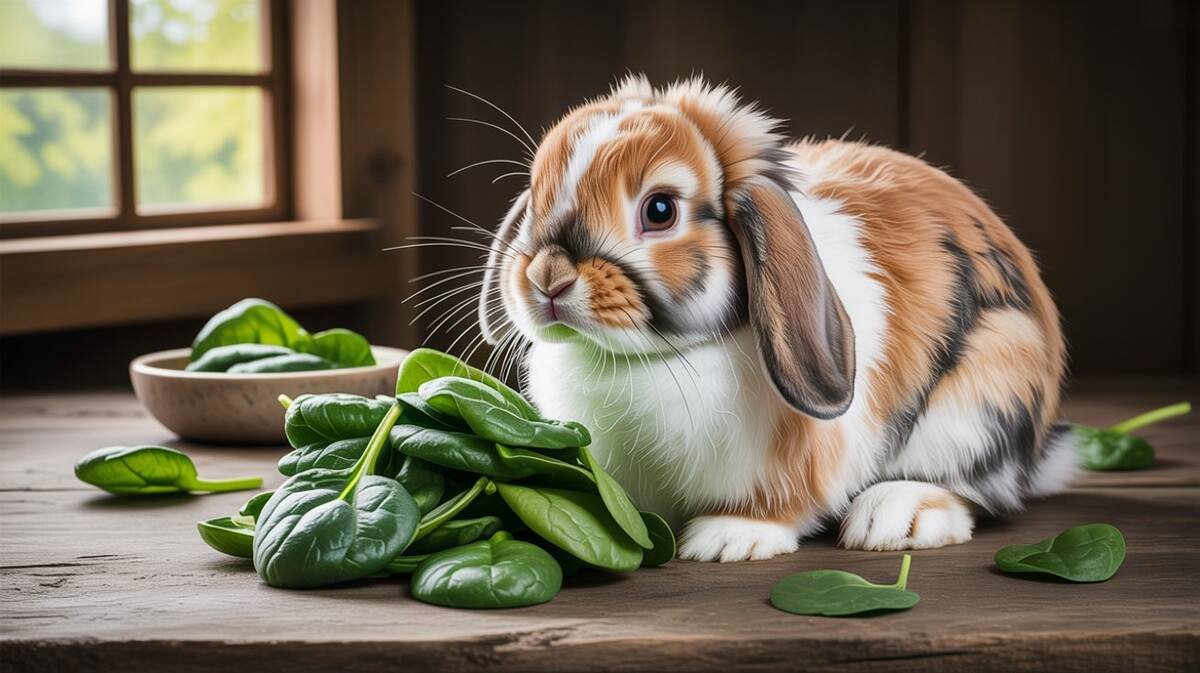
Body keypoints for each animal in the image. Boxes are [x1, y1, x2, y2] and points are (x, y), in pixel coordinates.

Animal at [476, 75, 1075, 562]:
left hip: (986, 394)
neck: (649, 358)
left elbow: (779, 502)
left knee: (974, 489)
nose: (548, 278)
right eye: (535, 195)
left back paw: (893, 518)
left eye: (660, 210)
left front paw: (728, 538)